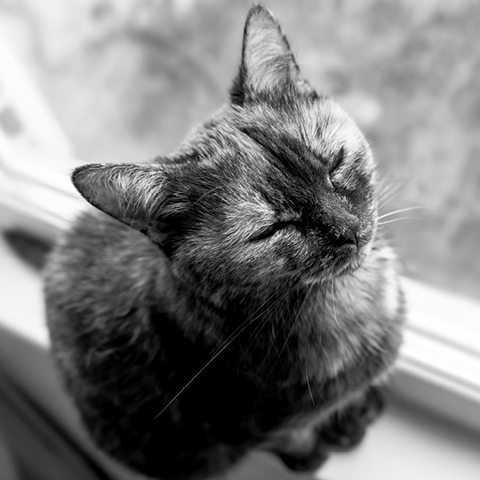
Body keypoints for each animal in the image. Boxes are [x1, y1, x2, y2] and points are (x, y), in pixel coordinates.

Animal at [44, 4, 404, 480]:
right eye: (272, 228)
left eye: (334, 163)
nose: (352, 232)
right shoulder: (256, 424)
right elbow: (296, 434)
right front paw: (313, 454)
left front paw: (356, 413)